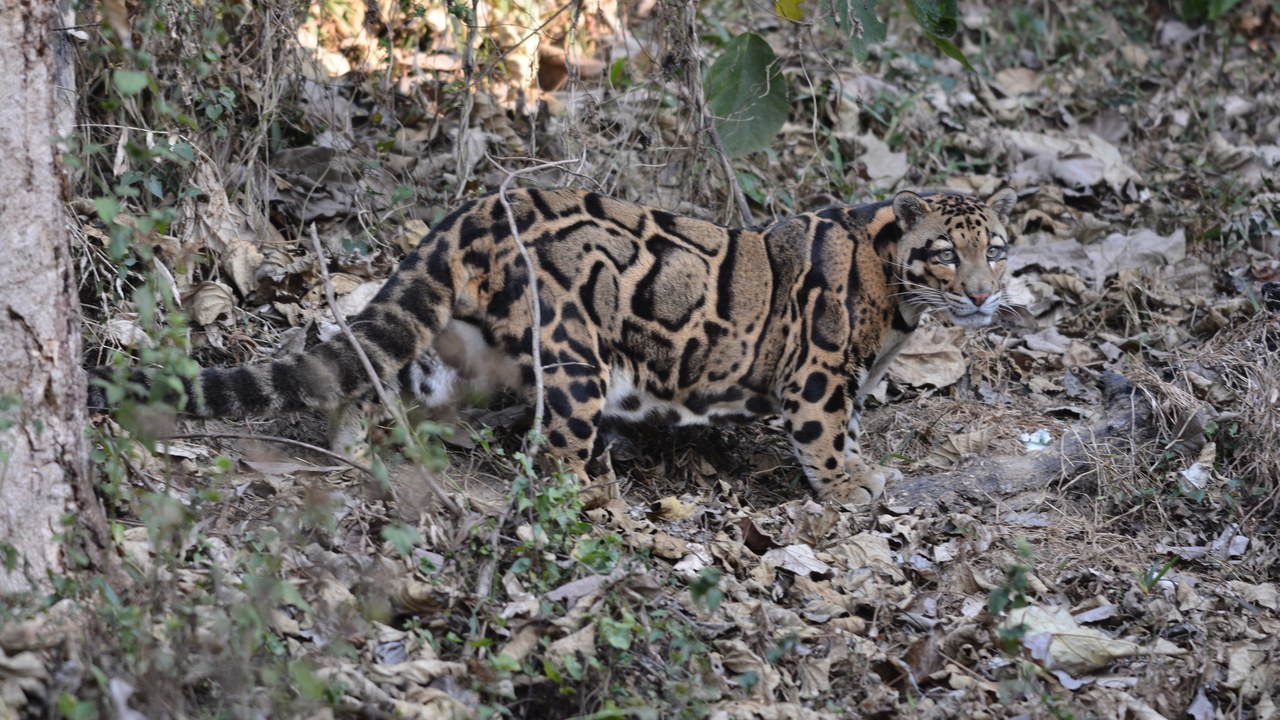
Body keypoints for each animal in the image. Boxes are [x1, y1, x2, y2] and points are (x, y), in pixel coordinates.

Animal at [91, 186, 1018, 506]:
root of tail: (475, 208)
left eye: (999, 248)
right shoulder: (821, 373)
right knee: (554, 458)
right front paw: (850, 486)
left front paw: (865, 468)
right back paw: (587, 501)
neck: (899, 297)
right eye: (947, 252)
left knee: (375, 374)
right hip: (575, 354)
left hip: (458, 347)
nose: (982, 294)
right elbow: (826, 438)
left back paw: (356, 449)